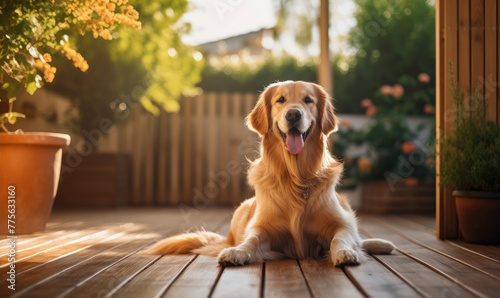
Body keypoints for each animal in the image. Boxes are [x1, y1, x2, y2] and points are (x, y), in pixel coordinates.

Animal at [146, 81, 394, 266]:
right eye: (281, 100)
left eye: (308, 100)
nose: (293, 115)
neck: (296, 177)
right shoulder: (264, 228)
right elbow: (252, 240)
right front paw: (237, 252)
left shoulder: (340, 222)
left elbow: (342, 236)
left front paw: (344, 252)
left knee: (359, 238)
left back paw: (383, 244)